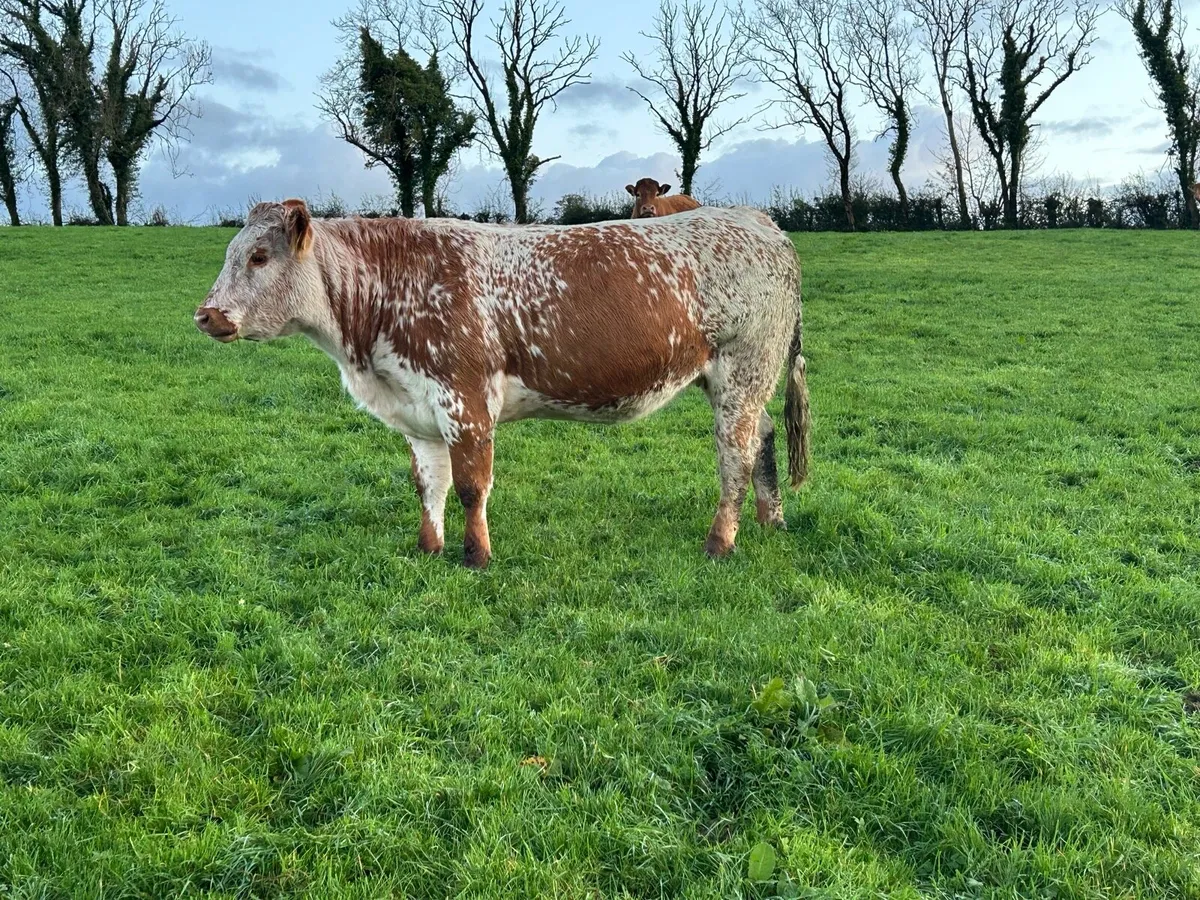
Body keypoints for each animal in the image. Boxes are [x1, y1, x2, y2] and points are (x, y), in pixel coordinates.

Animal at [195, 199, 810, 568]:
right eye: (232, 253)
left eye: (258, 256)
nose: (206, 315)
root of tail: (757, 220)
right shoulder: (419, 410)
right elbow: (429, 484)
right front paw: (429, 547)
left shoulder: (464, 399)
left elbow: (471, 485)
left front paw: (476, 555)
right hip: (736, 378)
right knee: (764, 436)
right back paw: (771, 519)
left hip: (744, 367)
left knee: (735, 454)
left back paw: (721, 540)